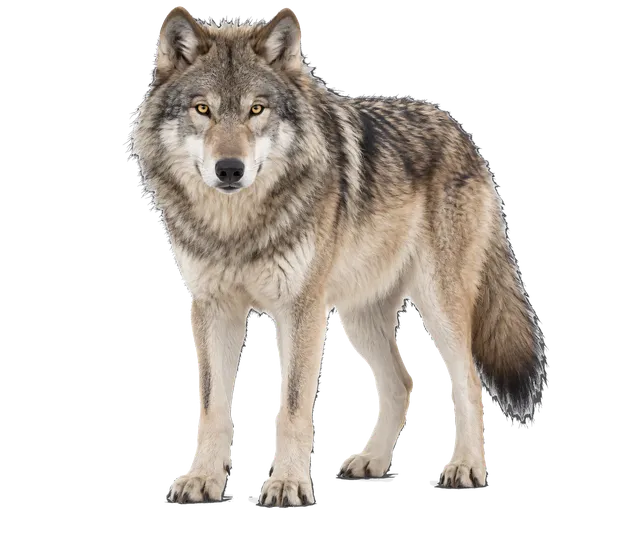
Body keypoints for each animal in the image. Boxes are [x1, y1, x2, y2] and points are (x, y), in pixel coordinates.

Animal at [131, 5, 544, 507]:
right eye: (203, 109)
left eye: (256, 109)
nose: (229, 169)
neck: (238, 227)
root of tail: (460, 133)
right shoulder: (213, 309)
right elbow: (211, 407)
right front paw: (202, 480)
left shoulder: (302, 311)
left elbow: (292, 408)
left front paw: (287, 484)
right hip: (358, 316)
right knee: (402, 383)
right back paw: (372, 462)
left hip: (438, 305)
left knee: (469, 384)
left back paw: (466, 468)